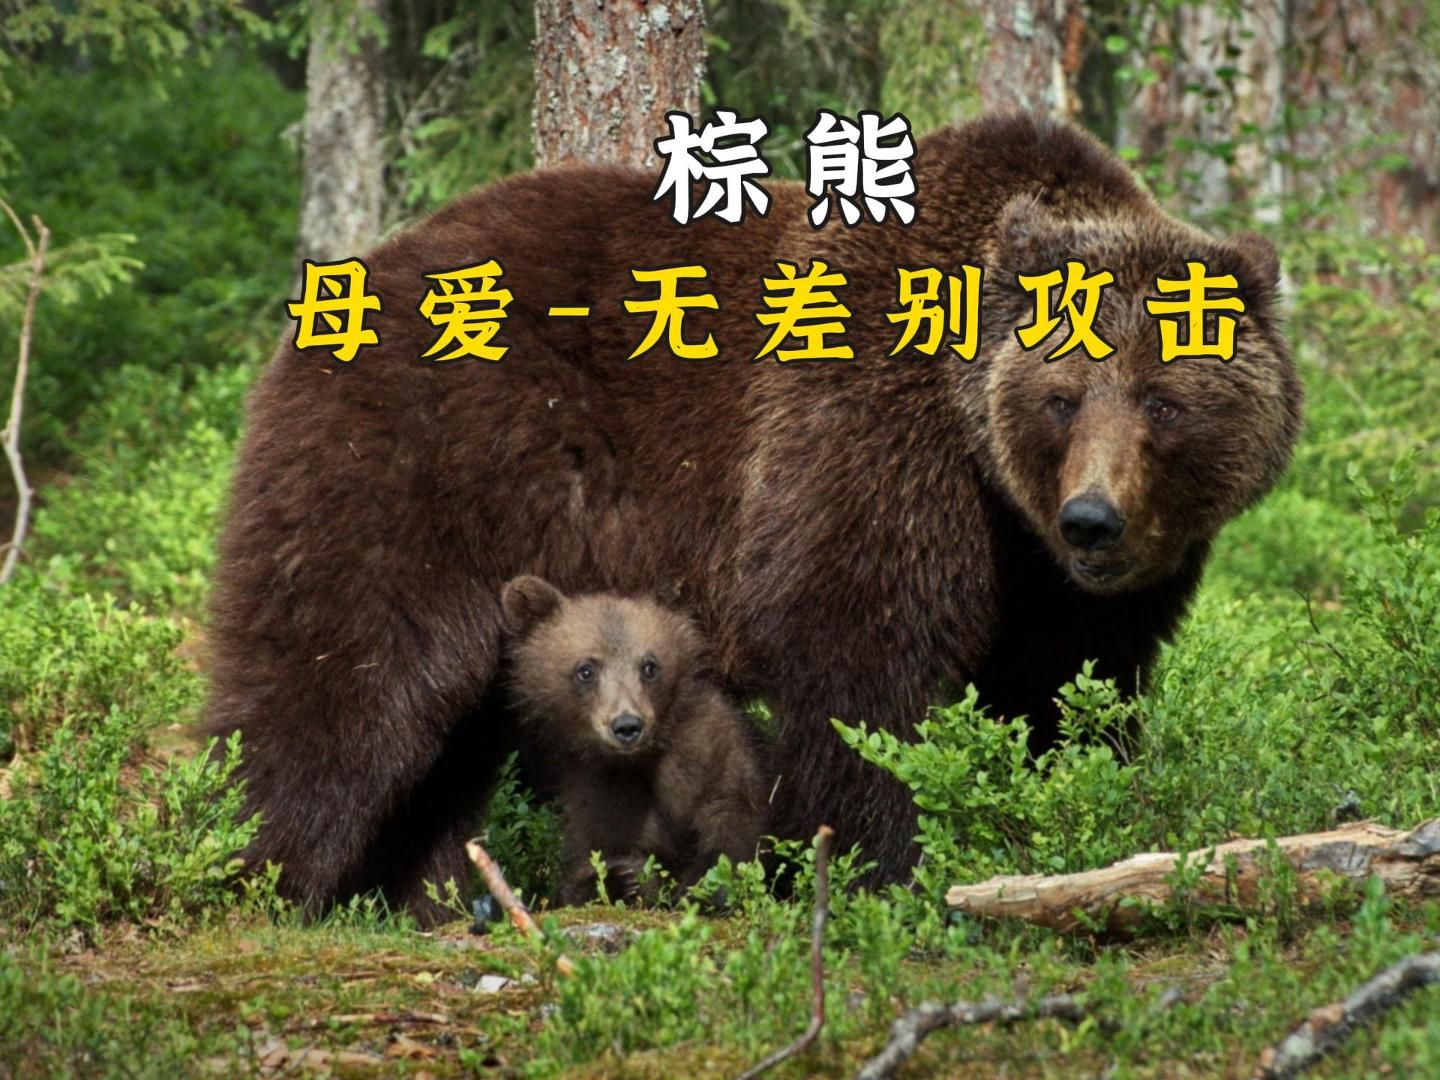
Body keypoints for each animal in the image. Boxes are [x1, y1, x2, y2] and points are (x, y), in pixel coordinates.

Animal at [499, 575, 767, 906]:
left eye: (650, 665)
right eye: (586, 670)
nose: (627, 725)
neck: (641, 758)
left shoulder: (710, 749)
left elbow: (731, 827)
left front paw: (703, 886)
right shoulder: (598, 789)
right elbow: (597, 854)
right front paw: (620, 879)